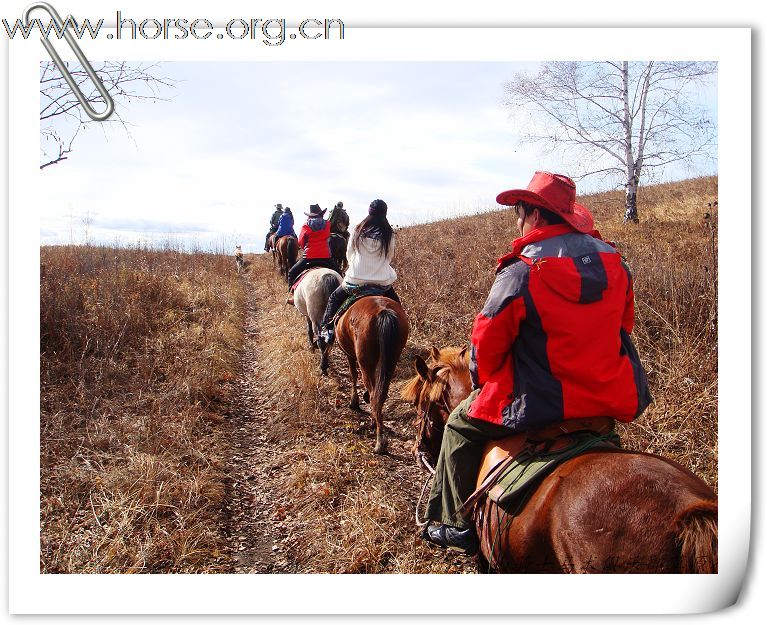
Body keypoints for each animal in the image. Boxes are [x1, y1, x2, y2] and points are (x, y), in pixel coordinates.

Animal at [336, 298, 408, 454]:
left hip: (365, 361)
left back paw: (379, 438)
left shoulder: (349, 355)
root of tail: (383, 312)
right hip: (392, 360)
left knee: (374, 392)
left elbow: (353, 374)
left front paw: (354, 402)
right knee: (381, 392)